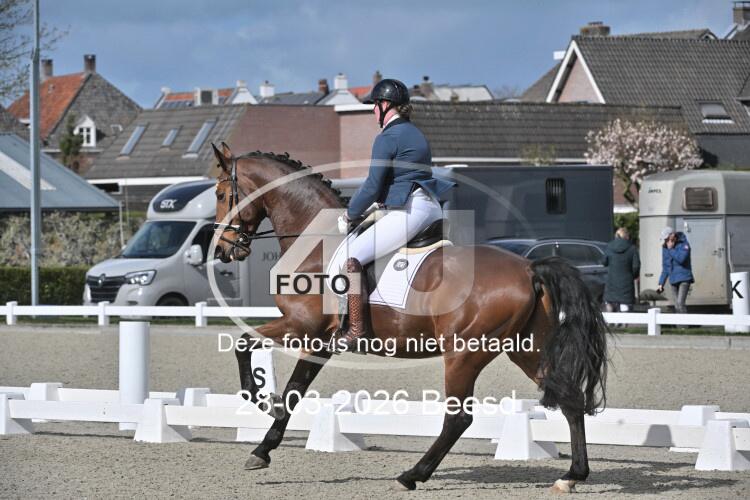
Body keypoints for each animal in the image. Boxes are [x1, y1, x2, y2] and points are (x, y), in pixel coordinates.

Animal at [210, 143, 609, 493]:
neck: (315, 242)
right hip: (526, 348)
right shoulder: (319, 340)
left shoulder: (301, 326)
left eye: (220, 194)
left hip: (463, 354)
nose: (223, 250)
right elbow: (294, 391)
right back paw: (572, 475)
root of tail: (529, 267)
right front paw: (263, 448)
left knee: (459, 418)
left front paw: (261, 399)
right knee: (569, 398)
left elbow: (244, 344)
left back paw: (412, 475)